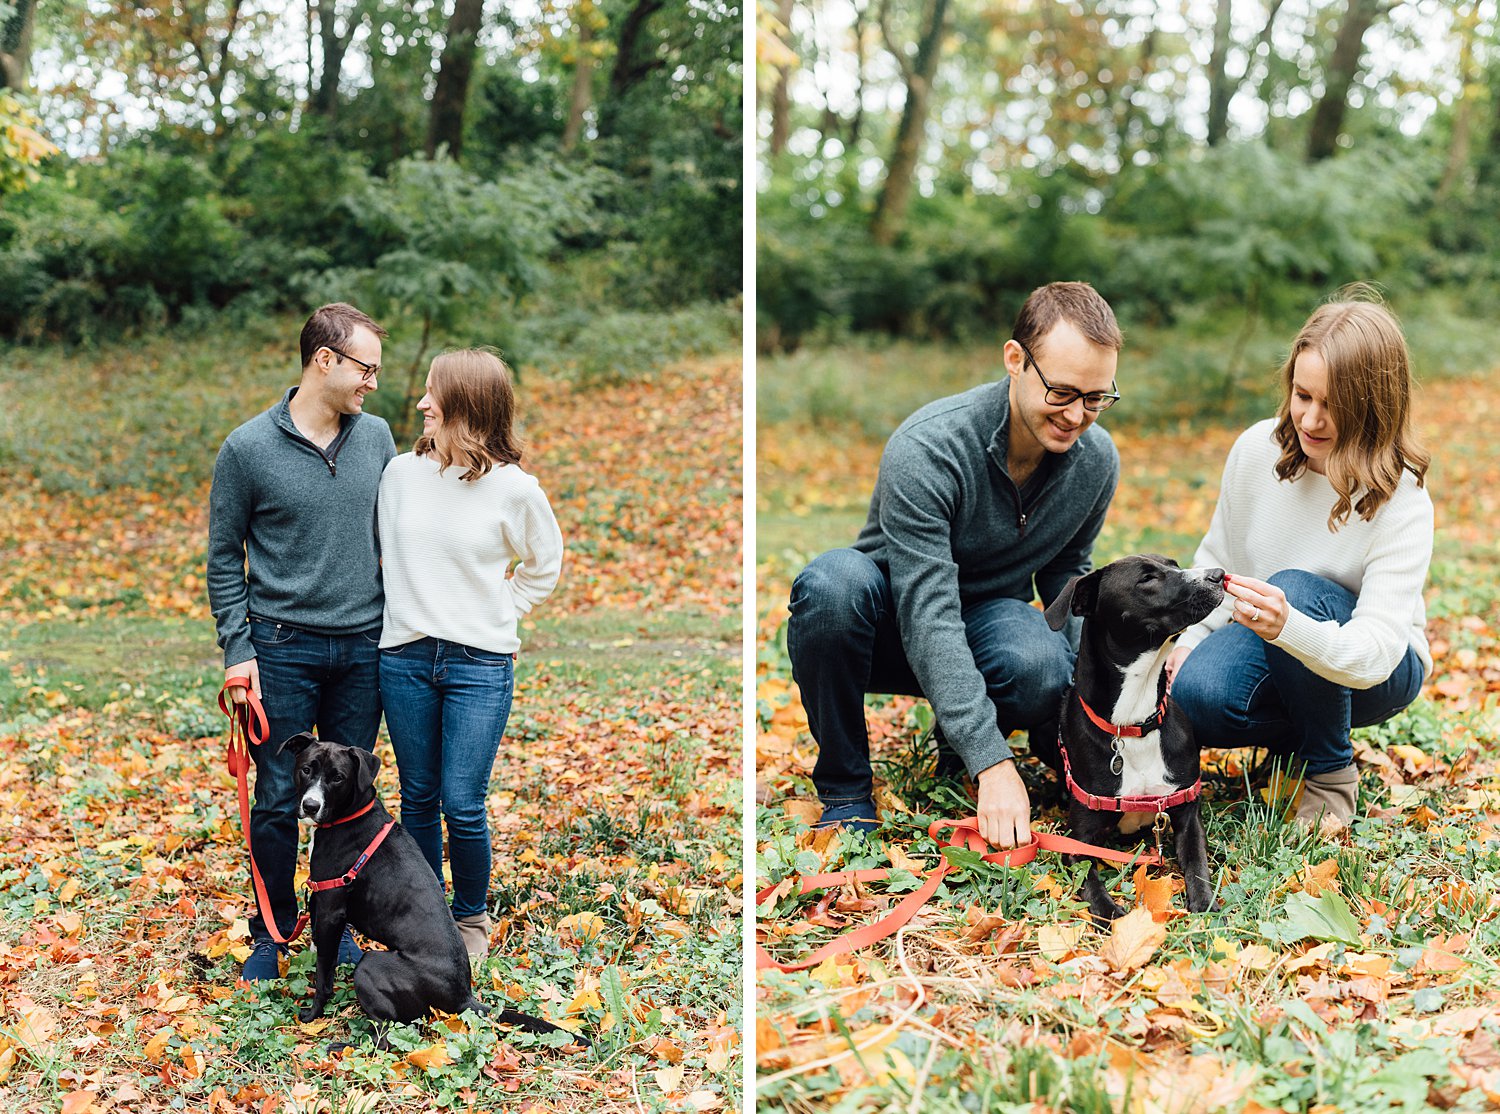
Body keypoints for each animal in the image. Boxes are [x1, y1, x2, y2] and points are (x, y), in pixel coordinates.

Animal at [282, 731, 585, 1043]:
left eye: (338, 778)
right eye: (307, 769)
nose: (311, 806)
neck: (352, 813)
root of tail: (463, 997)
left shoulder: (329, 909)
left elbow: (323, 972)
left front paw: (313, 1015)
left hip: (370, 965)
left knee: (387, 1035)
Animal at [1044, 554, 1218, 923]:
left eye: (1174, 564)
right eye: (1146, 579)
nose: (1218, 575)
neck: (1134, 724)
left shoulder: (1186, 814)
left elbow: (1197, 864)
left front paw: (1206, 905)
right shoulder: (1079, 840)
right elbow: (1092, 885)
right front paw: (1116, 916)